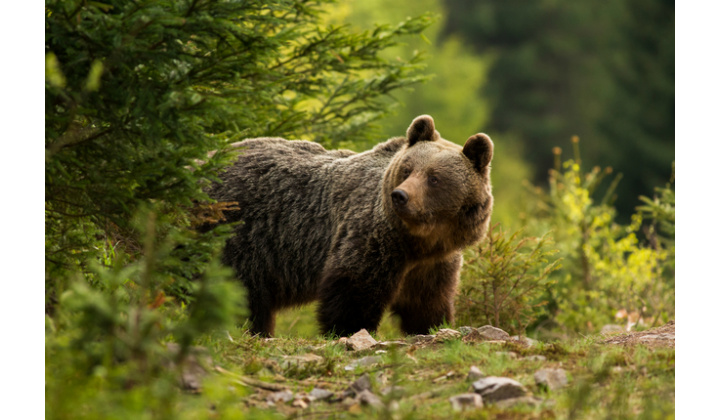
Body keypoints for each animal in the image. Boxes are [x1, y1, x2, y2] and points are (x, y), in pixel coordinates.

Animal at [205, 115, 492, 338]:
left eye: (434, 178)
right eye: (407, 169)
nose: (400, 196)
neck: (419, 240)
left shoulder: (433, 264)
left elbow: (428, 302)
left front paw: (431, 326)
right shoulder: (371, 240)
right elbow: (353, 291)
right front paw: (349, 330)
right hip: (240, 237)